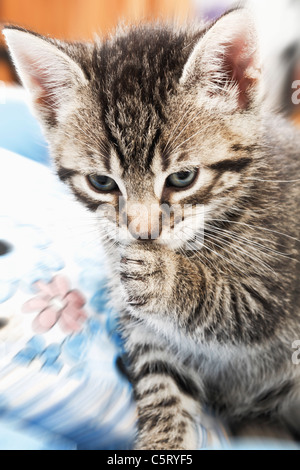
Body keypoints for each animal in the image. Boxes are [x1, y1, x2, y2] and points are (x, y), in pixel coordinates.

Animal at [3, 8, 300, 448]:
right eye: (102, 182)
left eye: (182, 178)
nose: (143, 231)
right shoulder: (147, 333)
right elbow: (162, 386)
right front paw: (161, 442)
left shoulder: (276, 289)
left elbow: (235, 308)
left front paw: (165, 277)